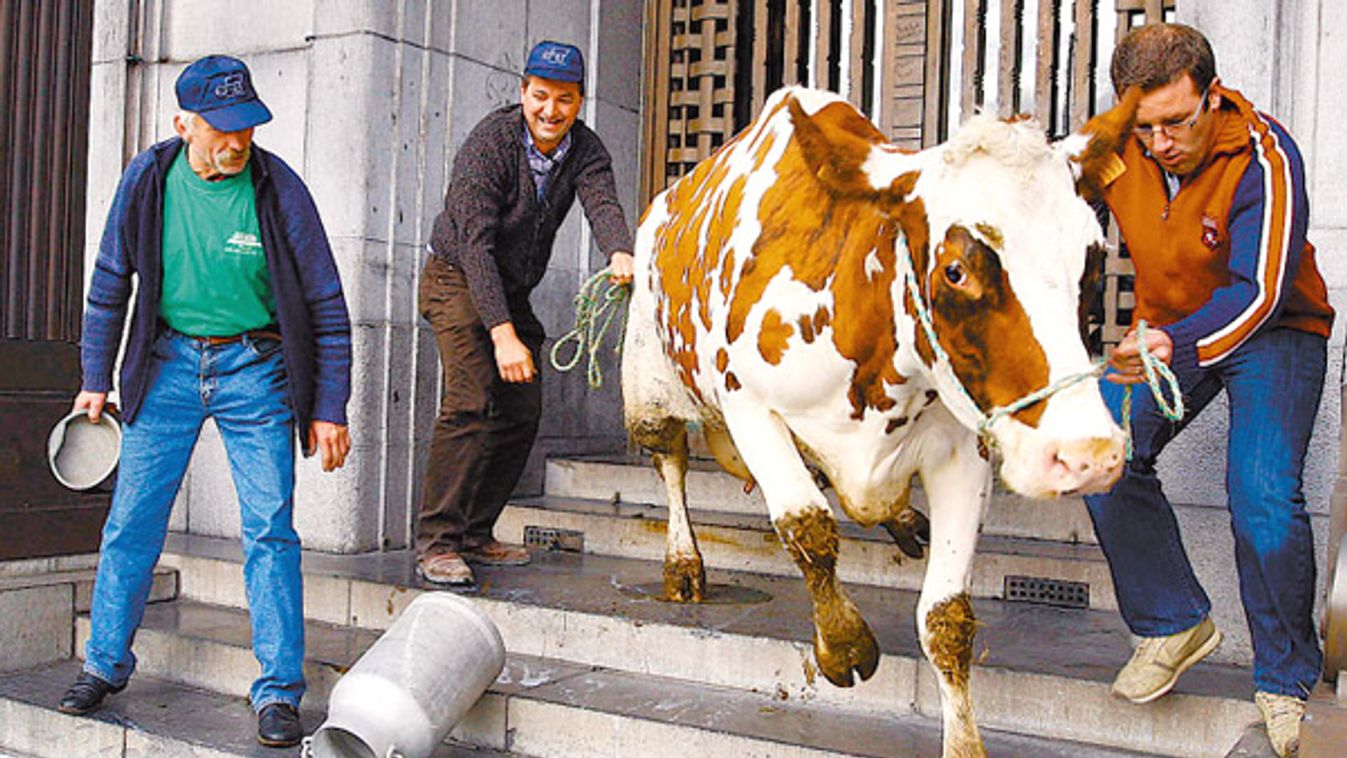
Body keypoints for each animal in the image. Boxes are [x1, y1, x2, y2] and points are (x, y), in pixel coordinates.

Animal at [619, 88, 1136, 758]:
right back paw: (683, 563)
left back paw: (902, 518)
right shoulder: (747, 403)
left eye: (1094, 265)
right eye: (955, 270)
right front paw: (843, 645)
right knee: (673, 461)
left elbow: (947, 617)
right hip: (650, 383)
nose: (1088, 453)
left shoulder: (963, 449)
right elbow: (807, 525)